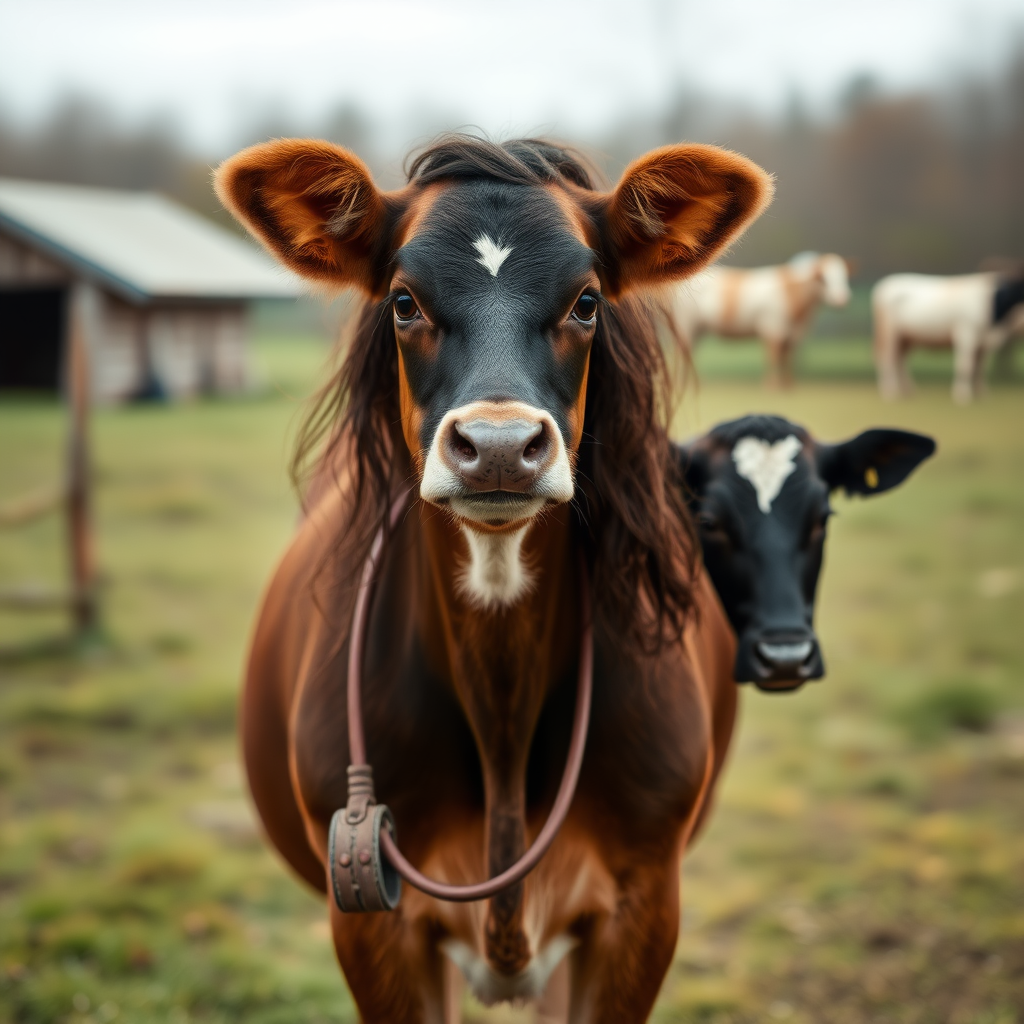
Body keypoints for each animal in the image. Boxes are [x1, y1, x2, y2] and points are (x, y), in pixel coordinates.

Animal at [667, 251, 851, 387]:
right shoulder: (773, 328)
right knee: (681, 352)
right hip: (686, 324)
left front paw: (788, 387)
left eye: (845, 277)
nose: (842, 299)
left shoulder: (792, 335)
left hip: (697, 329)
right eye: (824, 279)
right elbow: (774, 358)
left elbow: (788, 359)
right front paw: (772, 387)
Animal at [872, 272, 1024, 403]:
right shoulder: (966, 334)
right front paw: (962, 396)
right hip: (890, 332)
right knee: (888, 359)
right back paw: (891, 392)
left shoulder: (983, 343)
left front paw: (981, 395)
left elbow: (979, 368)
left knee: (899, 360)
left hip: (906, 337)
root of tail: (884, 285)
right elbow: (965, 366)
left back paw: (908, 391)